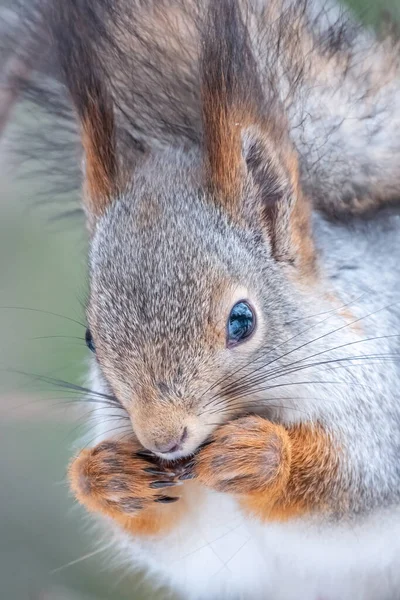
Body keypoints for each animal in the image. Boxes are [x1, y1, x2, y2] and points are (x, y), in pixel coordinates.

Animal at [2, 1, 400, 600]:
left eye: (243, 320)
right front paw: (107, 477)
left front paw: (263, 457)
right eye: (91, 338)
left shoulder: (383, 398)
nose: (164, 438)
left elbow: (358, 479)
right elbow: (172, 538)